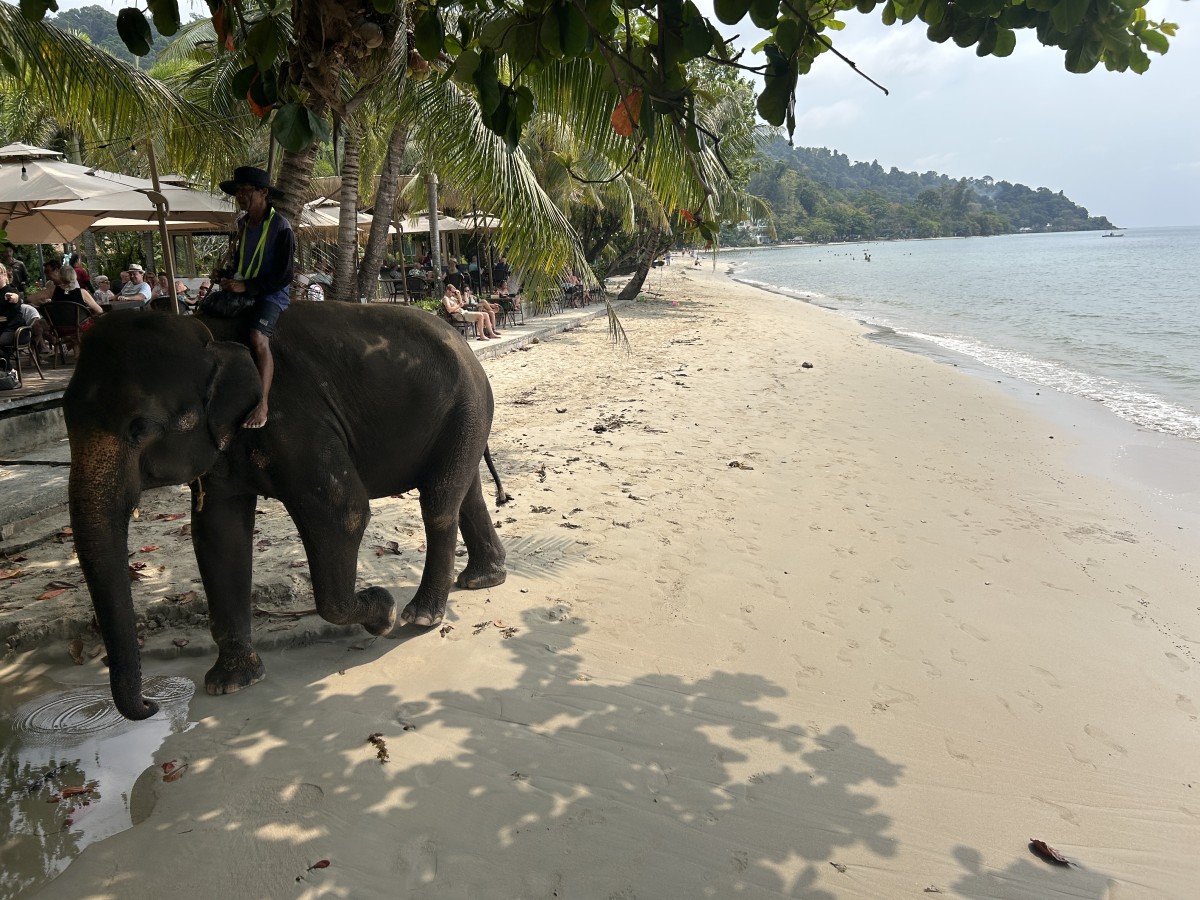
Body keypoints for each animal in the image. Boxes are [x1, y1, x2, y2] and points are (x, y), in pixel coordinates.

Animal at [63, 303, 509, 721]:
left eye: (139, 428)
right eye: (64, 417)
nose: (150, 704)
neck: (211, 331)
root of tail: (464, 343)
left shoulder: (293, 420)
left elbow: (343, 512)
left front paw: (383, 612)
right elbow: (218, 535)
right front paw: (231, 684)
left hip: (466, 407)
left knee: (439, 502)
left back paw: (421, 616)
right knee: (463, 494)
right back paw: (482, 579)